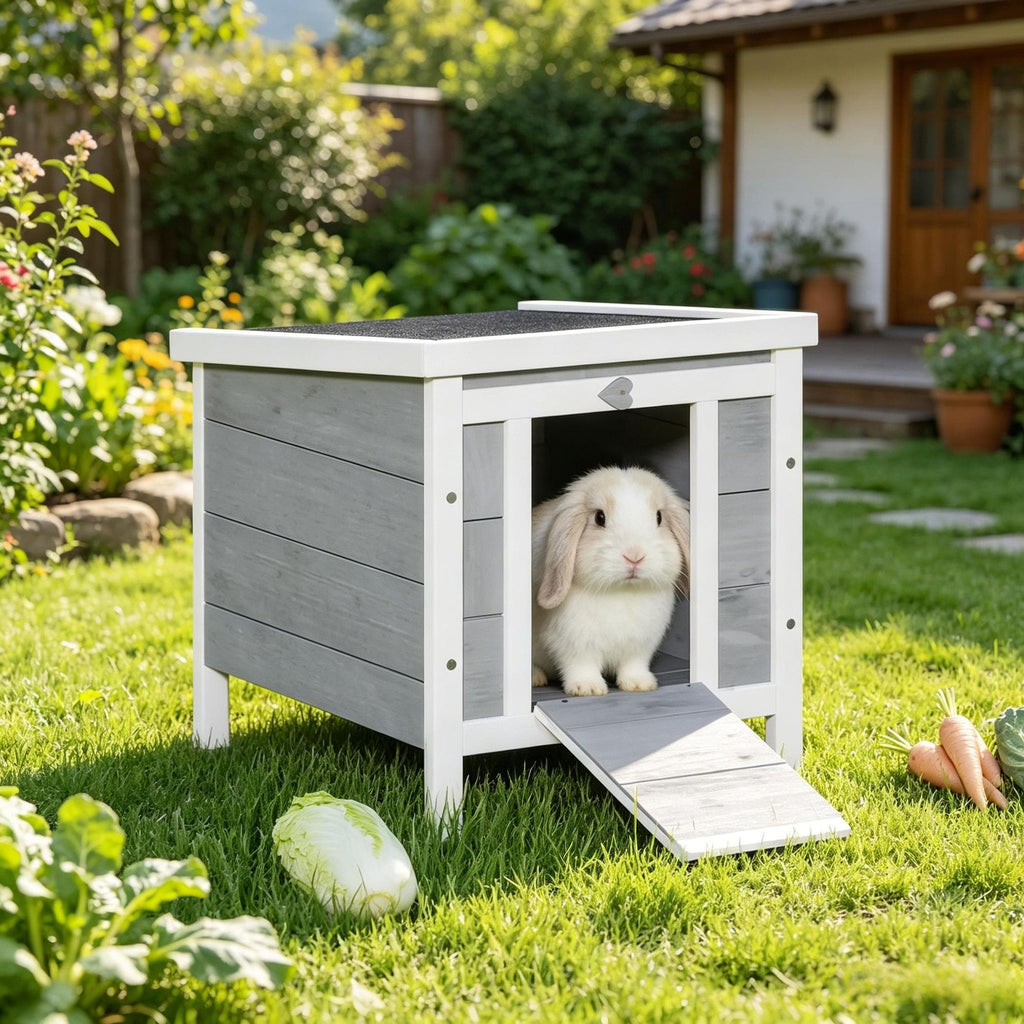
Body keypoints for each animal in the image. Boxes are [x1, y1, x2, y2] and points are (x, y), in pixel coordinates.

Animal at [531, 466, 690, 698]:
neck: (621, 591)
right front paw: (587, 688)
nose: (635, 556)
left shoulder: (640, 645)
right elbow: (581, 665)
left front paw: (640, 684)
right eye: (600, 517)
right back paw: (536, 678)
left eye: (659, 517)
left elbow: (633, 665)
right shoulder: (574, 643)